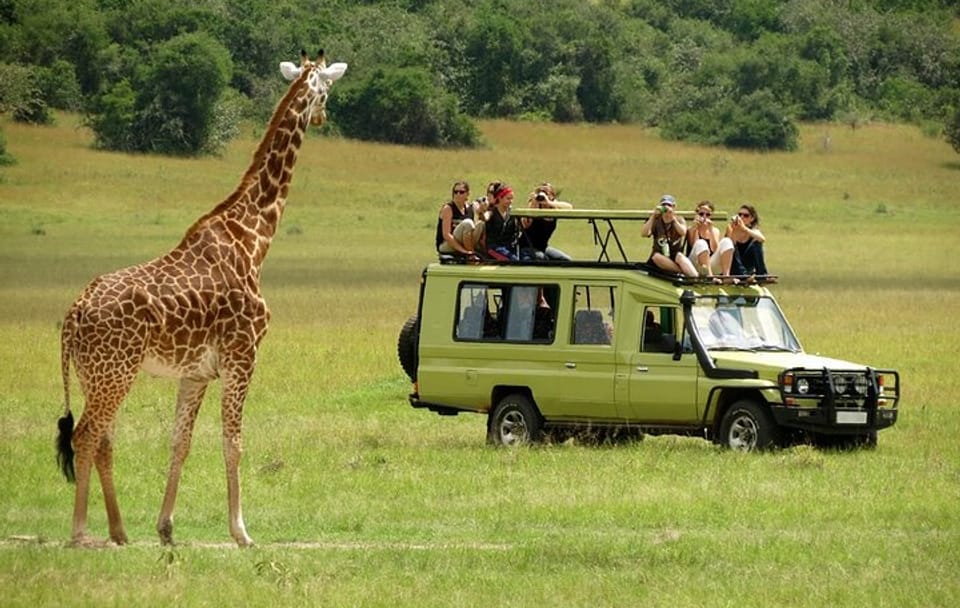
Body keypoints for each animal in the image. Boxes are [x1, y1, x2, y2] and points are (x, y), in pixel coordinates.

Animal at [56, 50, 347, 547]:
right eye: (326, 90)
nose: (325, 115)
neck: (254, 237)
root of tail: (74, 313)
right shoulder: (242, 356)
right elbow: (234, 441)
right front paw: (242, 532)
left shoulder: (195, 372)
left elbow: (180, 442)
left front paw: (166, 528)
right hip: (116, 371)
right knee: (86, 435)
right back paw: (79, 532)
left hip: (97, 373)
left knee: (104, 439)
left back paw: (119, 530)